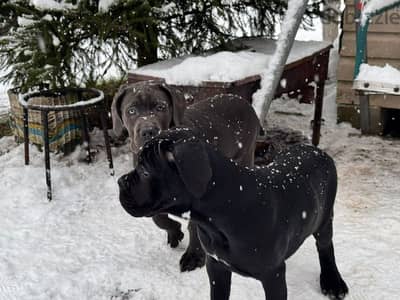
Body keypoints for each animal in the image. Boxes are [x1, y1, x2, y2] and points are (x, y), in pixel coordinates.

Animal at [111, 81, 260, 272]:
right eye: (131, 110)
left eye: (161, 107)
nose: (148, 131)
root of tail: (242, 101)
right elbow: (158, 217)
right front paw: (175, 232)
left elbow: (194, 227)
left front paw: (194, 256)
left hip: (245, 154)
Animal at [118, 129, 346, 300]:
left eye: (145, 172)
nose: (120, 181)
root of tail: (315, 149)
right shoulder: (216, 266)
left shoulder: (273, 275)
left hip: (325, 218)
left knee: (325, 246)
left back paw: (333, 282)